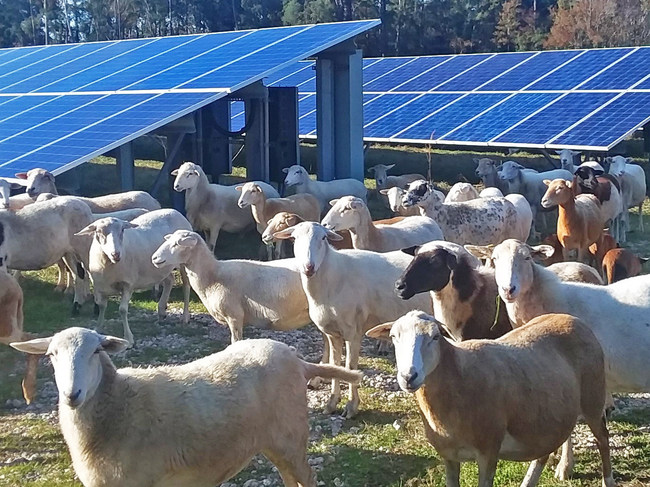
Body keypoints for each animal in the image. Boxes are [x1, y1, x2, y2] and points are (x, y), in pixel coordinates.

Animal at [10, 328, 362, 487]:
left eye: (96, 351)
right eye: (52, 355)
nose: (72, 394)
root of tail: (298, 361)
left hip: (291, 436)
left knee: (306, 476)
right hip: (276, 442)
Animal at [76, 210, 191, 346]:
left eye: (122, 230)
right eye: (99, 232)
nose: (116, 254)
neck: (108, 264)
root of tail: (174, 211)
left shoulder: (128, 284)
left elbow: (122, 310)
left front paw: (129, 338)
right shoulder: (99, 286)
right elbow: (101, 306)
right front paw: (98, 328)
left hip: (184, 262)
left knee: (186, 286)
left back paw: (185, 317)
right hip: (161, 266)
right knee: (169, 280)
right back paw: (161, 311)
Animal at [364, 312, 612, 487]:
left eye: (435, 337)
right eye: (393, 337)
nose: (409, 376)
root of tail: (573, 319)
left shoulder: (488, 451)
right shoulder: (448, 456)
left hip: (593, 398)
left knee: (602, 438)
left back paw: (607, 480)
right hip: (551, 414)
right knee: (547, 449)